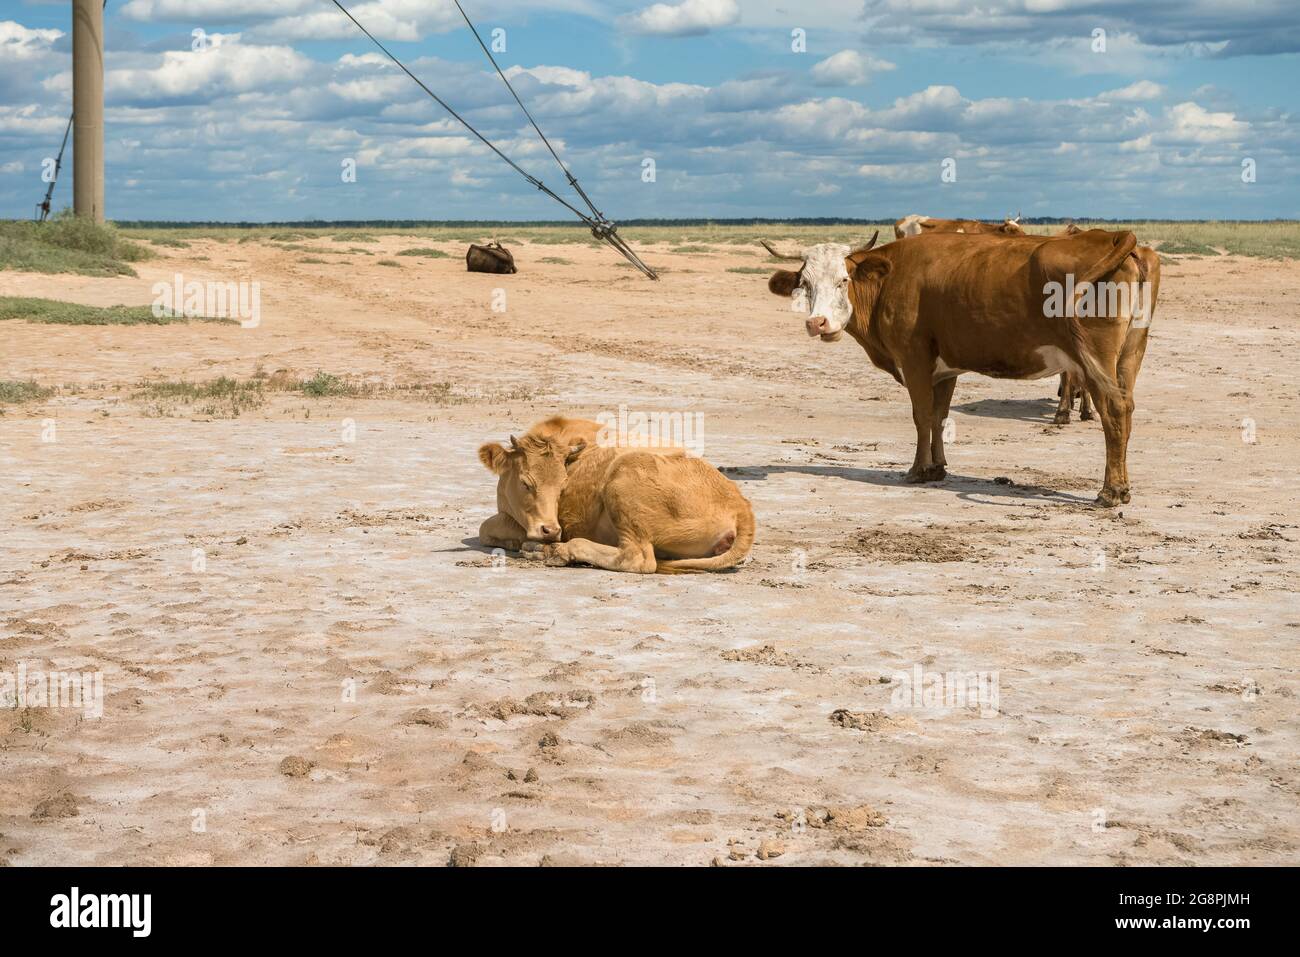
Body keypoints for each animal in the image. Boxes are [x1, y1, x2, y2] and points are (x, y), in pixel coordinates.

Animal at [477, 417, 755, 573]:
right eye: (526, 483)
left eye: (562, 485)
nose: (551, 530)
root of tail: (740, 505)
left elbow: (486, 528)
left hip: (624, 480)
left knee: (637, 558)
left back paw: (552, 551)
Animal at [767, 230, 1160, 506]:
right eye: (804, 284)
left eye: (843, 280)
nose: (817, 323)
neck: (890, 278)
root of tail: (1110, 237)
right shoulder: (946, 369)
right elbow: (939, 416)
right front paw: (938, 467)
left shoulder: (913, 358)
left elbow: (922, 416)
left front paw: (918, 470)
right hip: (1130, 354)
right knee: (1126, 409)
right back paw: (1122, 487)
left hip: (1095, 358)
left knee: (1114, 410)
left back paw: (1110, 491)